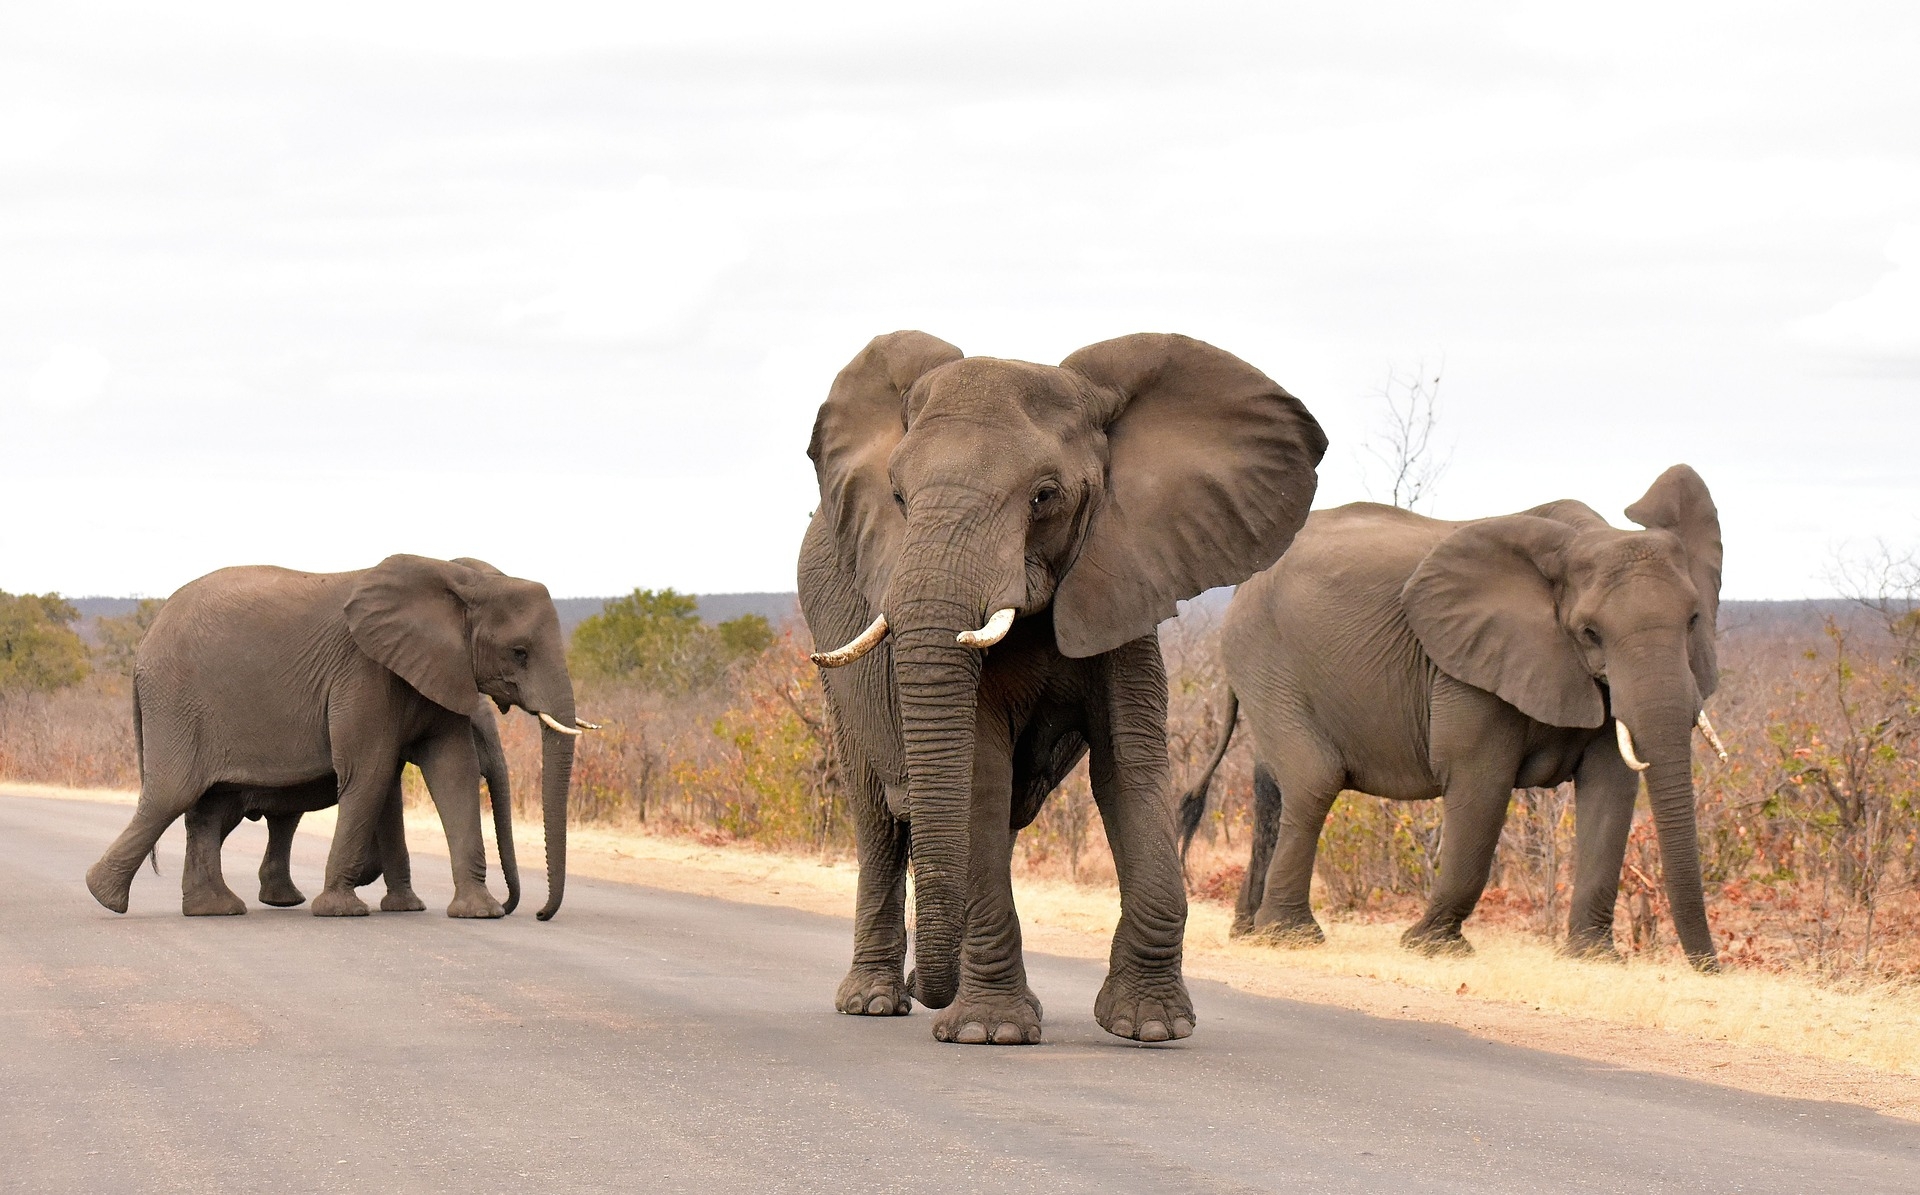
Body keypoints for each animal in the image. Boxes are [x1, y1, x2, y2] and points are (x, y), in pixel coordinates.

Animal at [88, 557, 583, 922]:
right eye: (519, 652)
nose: (535, 913)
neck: (457, 576)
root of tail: (143, 644)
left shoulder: (433, 670)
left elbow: (449, 773)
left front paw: (471, 913)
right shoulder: (363, 673)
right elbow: (370, 772)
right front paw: (343, 911)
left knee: (208, 810)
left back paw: (215, 910)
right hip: (177, 702)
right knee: (173, 794)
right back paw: (105, 897)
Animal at [794, 330, 1320, 1045]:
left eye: (1045, 496)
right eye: (898, 498)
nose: (933, 997)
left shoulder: (1127, 581)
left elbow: (1130, 769)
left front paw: (1150, 1026)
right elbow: (981, 772)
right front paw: (989, 1034)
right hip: (840, 686)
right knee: (879, 820)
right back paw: (876, 1002)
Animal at [1175, 468, 1735, 975]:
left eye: (1694, 620)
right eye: (1590, 632)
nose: (1712, 967)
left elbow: (1611, 789)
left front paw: (1594, 957)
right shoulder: (1465, 670)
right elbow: (1480, 785)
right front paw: (1430, 946)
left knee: (1272, 784)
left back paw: (1249, 933)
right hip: (1264, 657)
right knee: (1314, 780)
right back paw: (1291, 937)